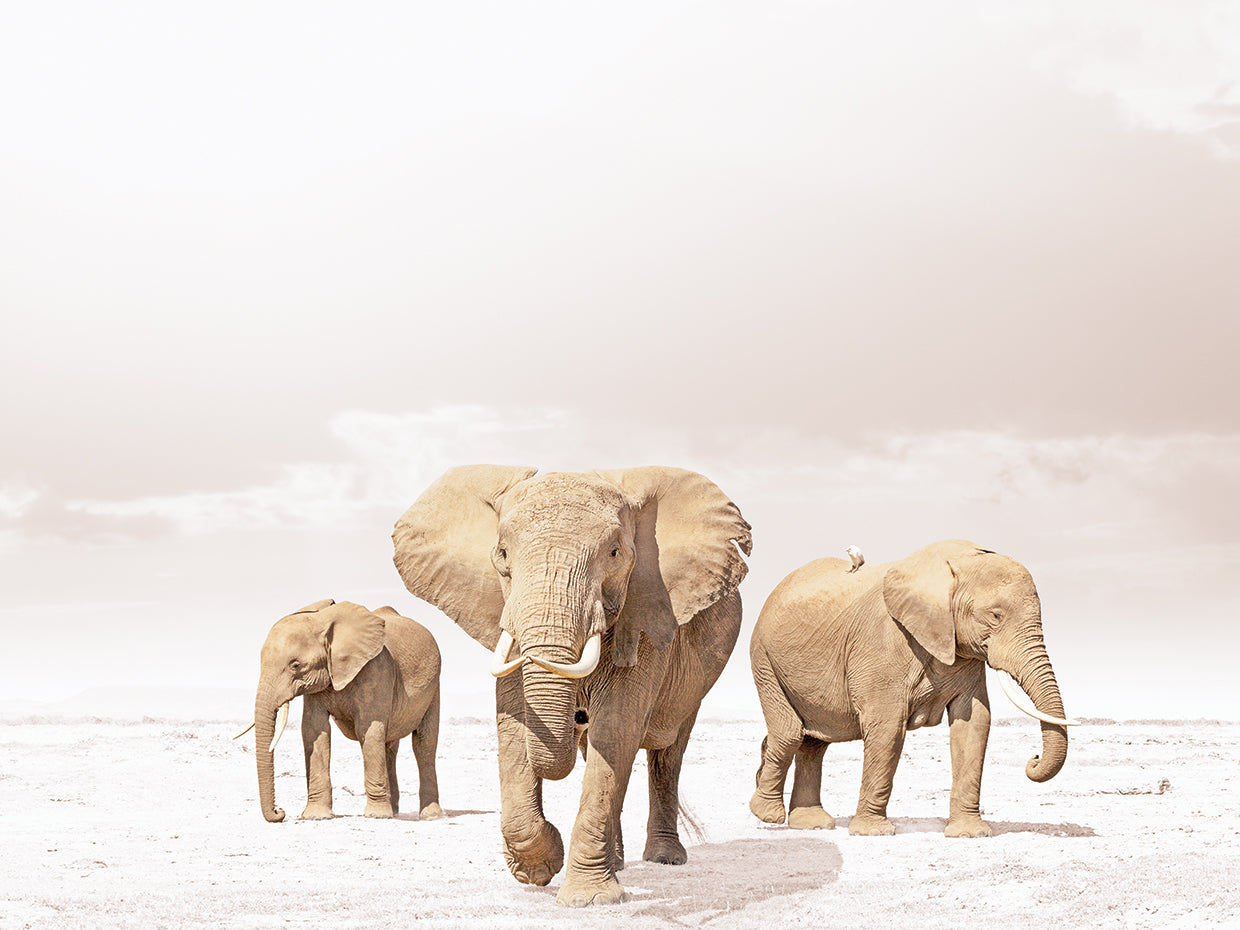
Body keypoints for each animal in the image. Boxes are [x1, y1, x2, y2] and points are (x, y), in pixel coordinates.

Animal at [242, 599, 443, 824]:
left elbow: (368, 731)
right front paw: (316, 817)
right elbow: (314, 730)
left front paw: (376, 816)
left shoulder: (377, 669)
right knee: (389, 745)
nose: (280, 811)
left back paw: (430, 816)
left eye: (295, 665)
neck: (323, 621)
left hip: (434, 687)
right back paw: (394, 811)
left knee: (424, 744)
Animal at [392, 465, 751, 907]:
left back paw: (665, 859)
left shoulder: (646, 609)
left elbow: (615, 727)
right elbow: (515, 724)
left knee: (667, 753)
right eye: (502, 554)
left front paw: (589, 899)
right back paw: (616, 863)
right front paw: (537, 869)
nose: (578, 714)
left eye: (614, 553)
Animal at [749, 540, 1077, 838]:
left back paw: (812, 823)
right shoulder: (881, 642)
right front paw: (873, 833)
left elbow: (974, 723)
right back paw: (767, 813)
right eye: (995, 616)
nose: (1033, 759)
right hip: (763, 658)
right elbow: (887, 727)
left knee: (813, 742)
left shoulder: (961, 648)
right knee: (790, 733)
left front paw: (969, 834)